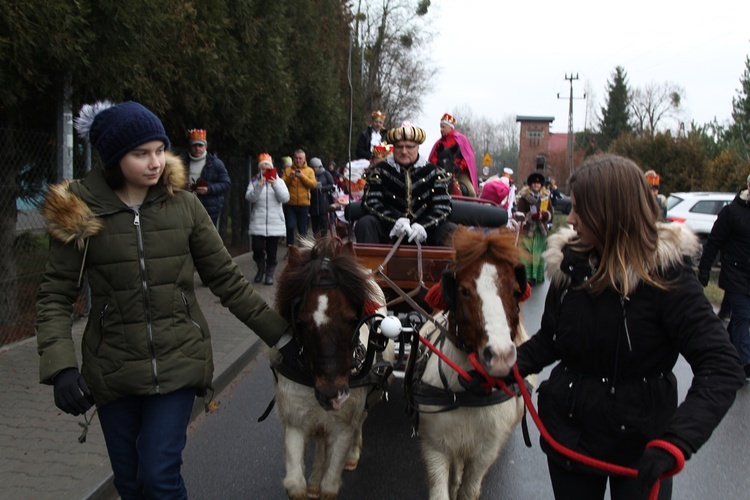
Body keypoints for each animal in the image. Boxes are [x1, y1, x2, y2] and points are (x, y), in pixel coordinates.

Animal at [274, 236, 394, 498]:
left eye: (352, 319)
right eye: (301, 322)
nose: (333, 395)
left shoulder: (343, 427)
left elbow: (330, 486)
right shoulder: (295, 422)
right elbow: (295, 485)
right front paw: (309, 486)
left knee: (361, 421)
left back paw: (351, 455)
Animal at [418, 227, 536, 500]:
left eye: (515, 291)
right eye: (463, 290)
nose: (500, 355)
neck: (468, 390)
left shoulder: (485, 452)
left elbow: (469, 490)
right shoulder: (434, 446)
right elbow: (440, 491)